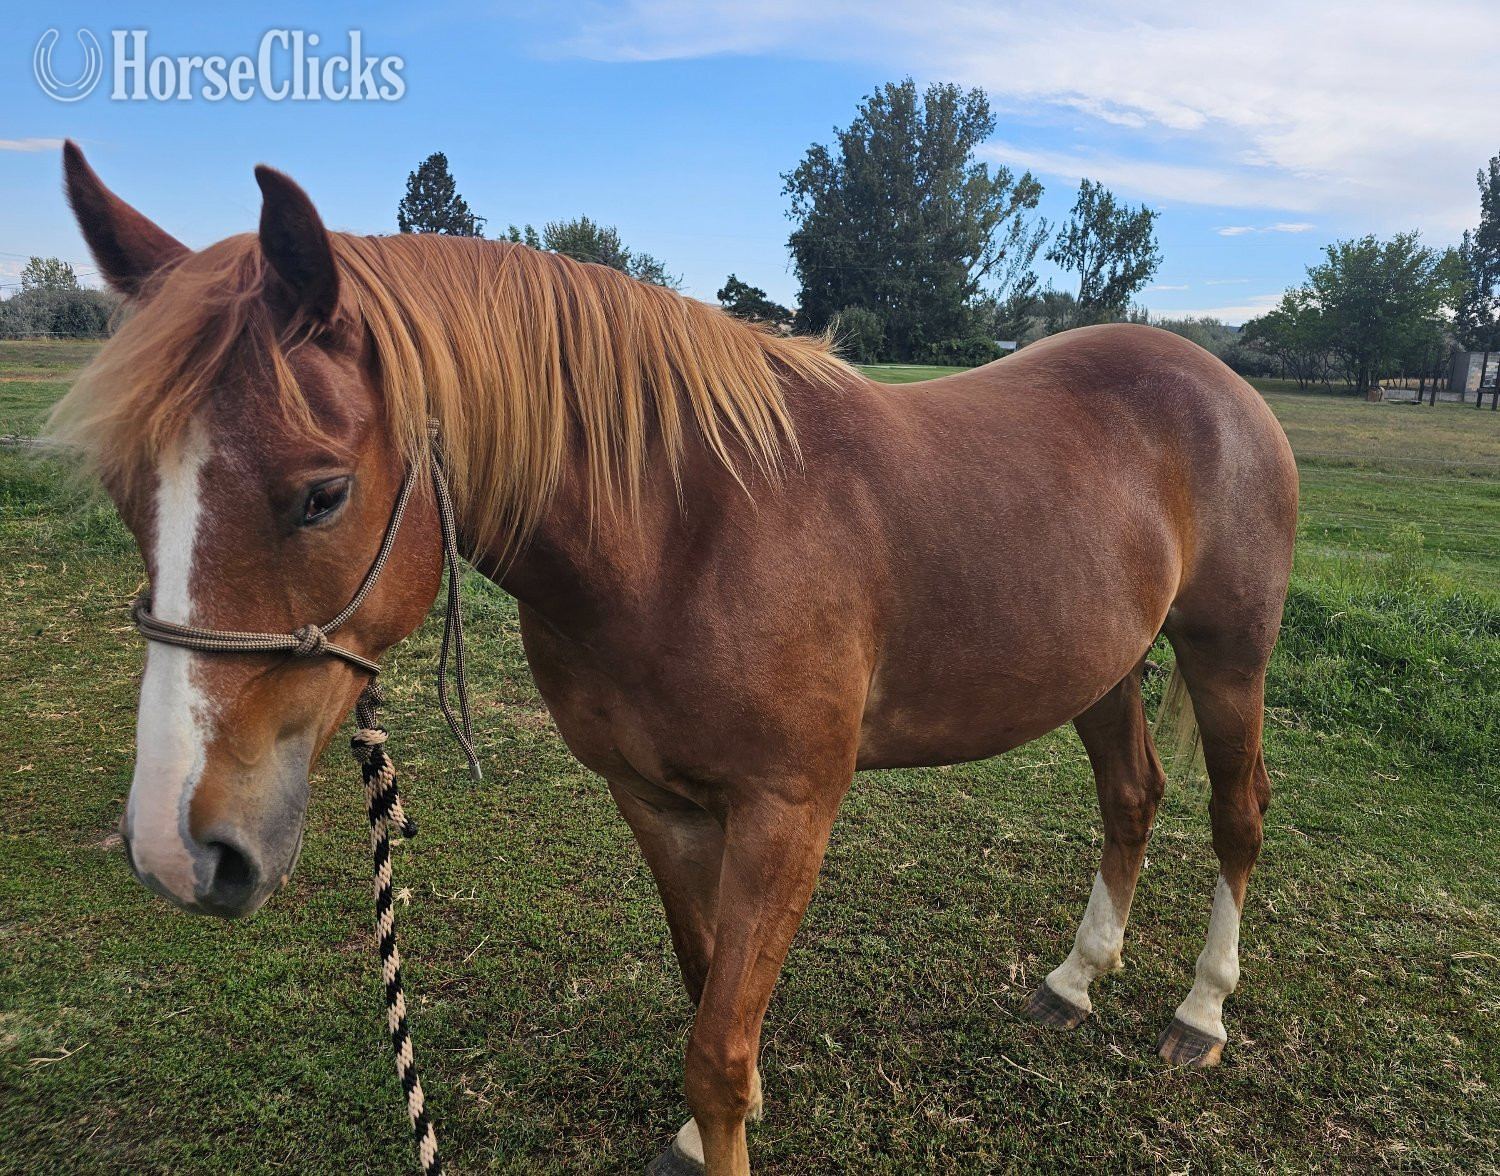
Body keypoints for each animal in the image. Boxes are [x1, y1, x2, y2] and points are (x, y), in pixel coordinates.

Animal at [53, 142, 1298, 1176]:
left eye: (321, 494)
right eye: (127, 491)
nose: (174, 848)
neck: (688, 528)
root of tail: (1219, 380)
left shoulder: (788, 814)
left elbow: (719, 1050)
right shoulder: (658, 802)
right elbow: (707, 1000)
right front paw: (707, 1138)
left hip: (1229, 654)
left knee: (1236, 816)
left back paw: (1201, 1014)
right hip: (1102, 669)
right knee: (1131, 799)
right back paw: (1076, 980)